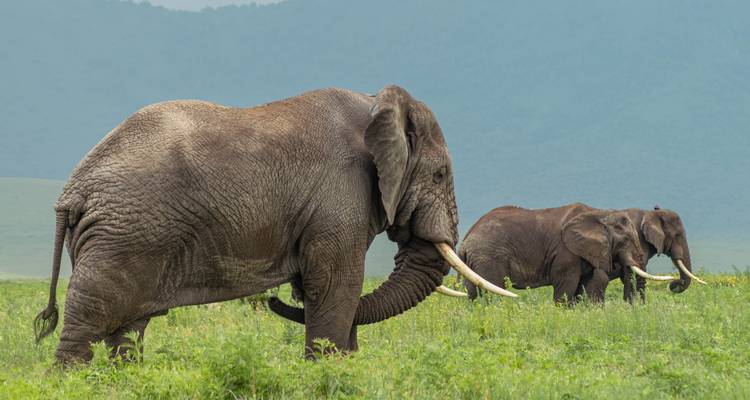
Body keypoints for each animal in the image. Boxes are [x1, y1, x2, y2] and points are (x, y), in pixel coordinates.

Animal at [33, 85, 513, 363]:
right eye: (440, 175)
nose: (270, 299)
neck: (377, 104)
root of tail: (72, 190)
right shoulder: (340, 190)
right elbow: (336, 282)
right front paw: (330, 369)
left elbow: (326, 286)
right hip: (123, 235)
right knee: (92, 317)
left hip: (129, 235)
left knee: (128, 327)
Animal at [459, 203, 650, 304]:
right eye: (625, 240)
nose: (631, 307)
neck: (600, 214)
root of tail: (466, 239)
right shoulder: (565, 252)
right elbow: (566, 288)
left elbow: (581, 288)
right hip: (489, 257)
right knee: (493, 291)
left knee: (472, 294)